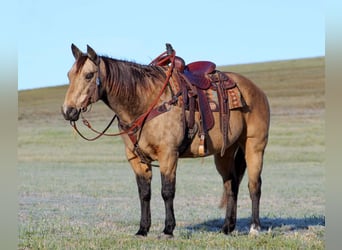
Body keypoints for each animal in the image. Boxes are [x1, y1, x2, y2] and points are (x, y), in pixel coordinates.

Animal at [60, 44, 270, 237]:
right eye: (69, 76)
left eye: (89, 75)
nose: (68, 111)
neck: (145, 102)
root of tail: (256, 90)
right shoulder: (135, 158)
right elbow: (144, 193)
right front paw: (142, 229)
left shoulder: (168, 154)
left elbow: (167, 191)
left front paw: (168, 229)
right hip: (224, 153)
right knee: (230, 184)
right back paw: (227, 227)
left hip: (254, 146)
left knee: (254, 185)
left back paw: (255, 227)